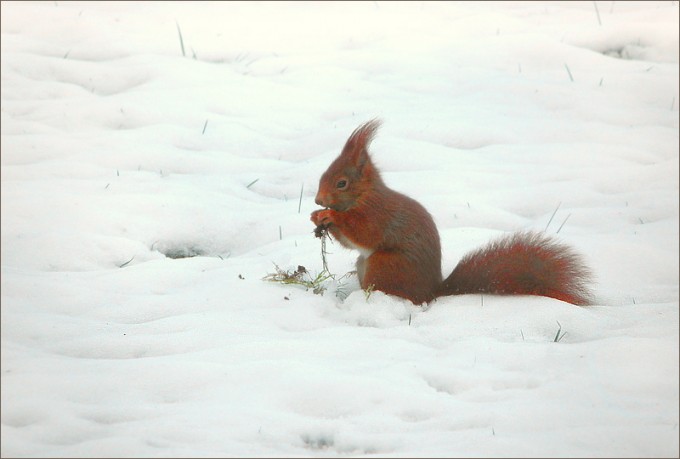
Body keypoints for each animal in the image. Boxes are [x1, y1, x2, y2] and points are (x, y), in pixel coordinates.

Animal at [310, 119, 593, 306]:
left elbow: (363, 232)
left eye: (342, 183)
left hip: (384, 266)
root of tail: (432, 292)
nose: (318, 199)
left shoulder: (376, 215)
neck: (364, 196)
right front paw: (316, 216)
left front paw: (331, 216)